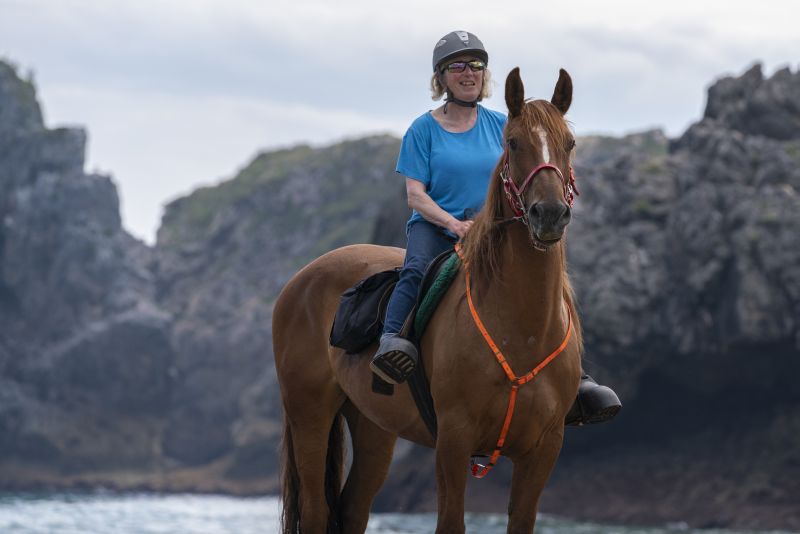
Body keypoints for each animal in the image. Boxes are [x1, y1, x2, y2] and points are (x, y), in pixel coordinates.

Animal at [274, 69, 580, 532]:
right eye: (512, 142)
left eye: (570, 143)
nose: (549, 214)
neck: (522, 330)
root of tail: (300, 280)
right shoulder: (453, 441)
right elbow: (450, 522)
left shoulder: (544, 449)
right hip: (309, 415)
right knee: (314, 512)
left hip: (373, 426)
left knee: (352, 508)